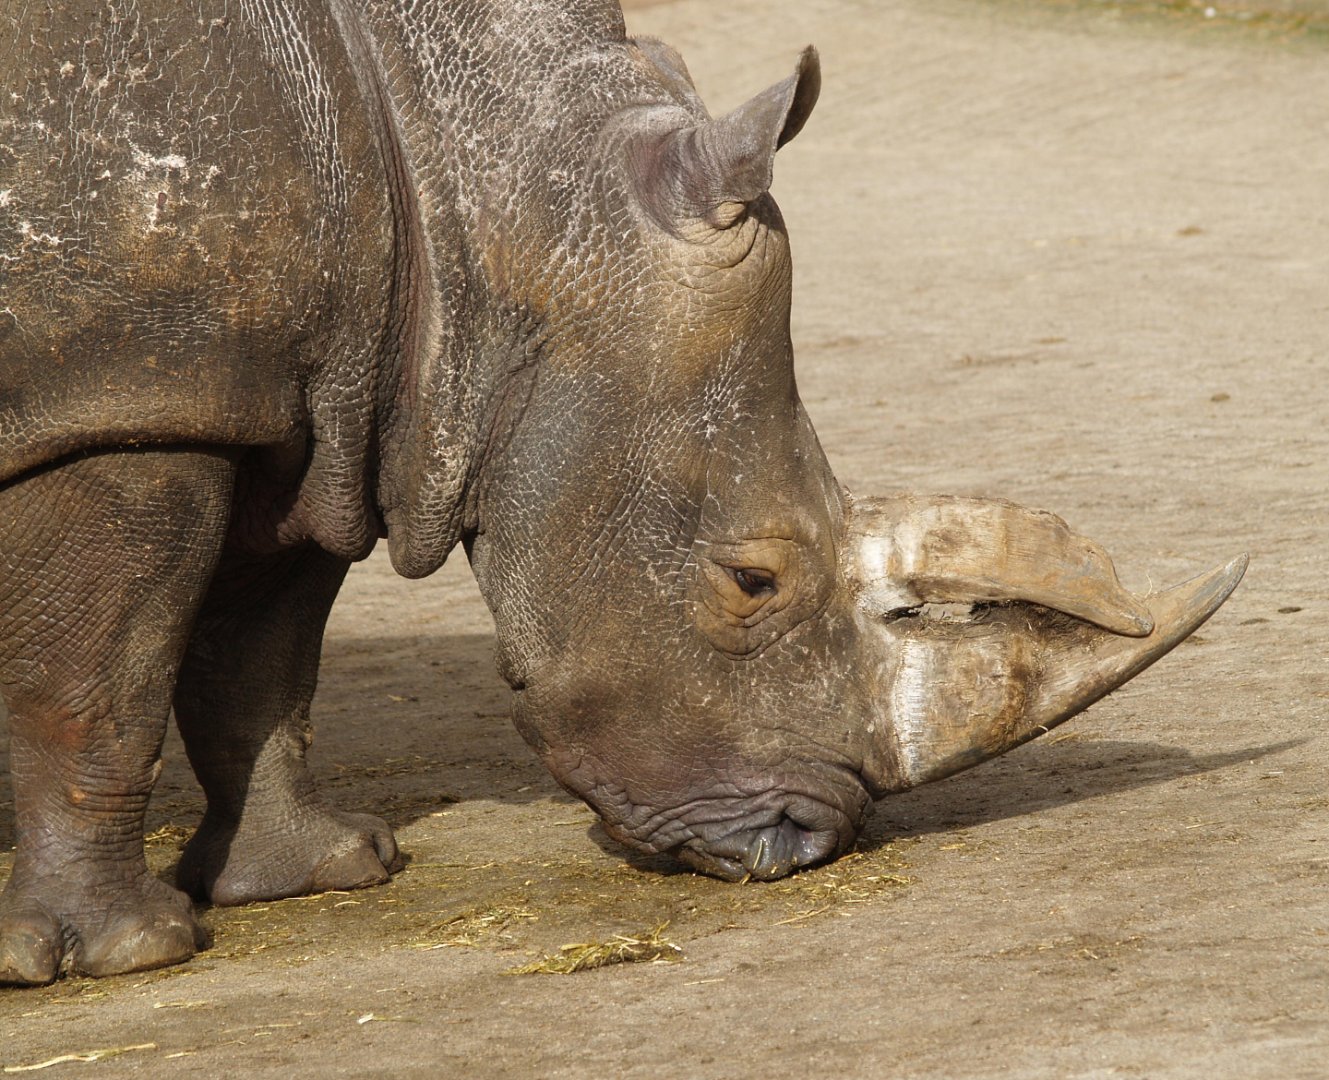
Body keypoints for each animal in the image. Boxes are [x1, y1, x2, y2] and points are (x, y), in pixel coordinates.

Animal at [0, 0, 1243, 984]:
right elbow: (102, 680)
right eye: (753, 581)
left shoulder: (302, 396)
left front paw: (324, 873)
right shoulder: (130, 388)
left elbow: (260, 659)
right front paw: (130, 954)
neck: (477, 186)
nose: (802, 843)